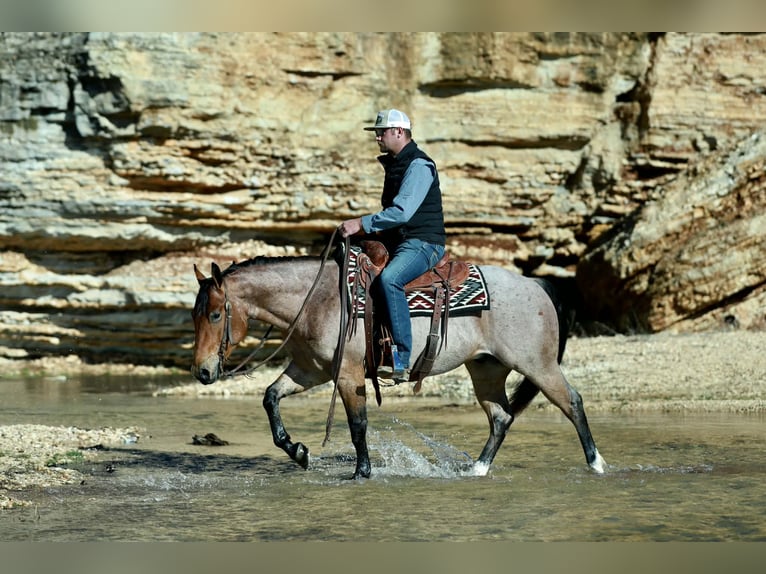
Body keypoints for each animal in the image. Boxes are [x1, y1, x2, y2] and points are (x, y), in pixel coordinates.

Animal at [190, 250, 607, 479]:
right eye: (195, 315)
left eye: (215, 314)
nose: (202, 372)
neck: (317, 301)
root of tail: (536, 284)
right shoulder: (310, 371)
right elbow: (270, 397)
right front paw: (298, 451)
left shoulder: (347, 374)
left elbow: (358, 424)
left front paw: (361, 472)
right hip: (486, 369)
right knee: (502, 417)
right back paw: (477, 468)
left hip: (538, 365)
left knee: (572, 401)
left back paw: (597, 464)